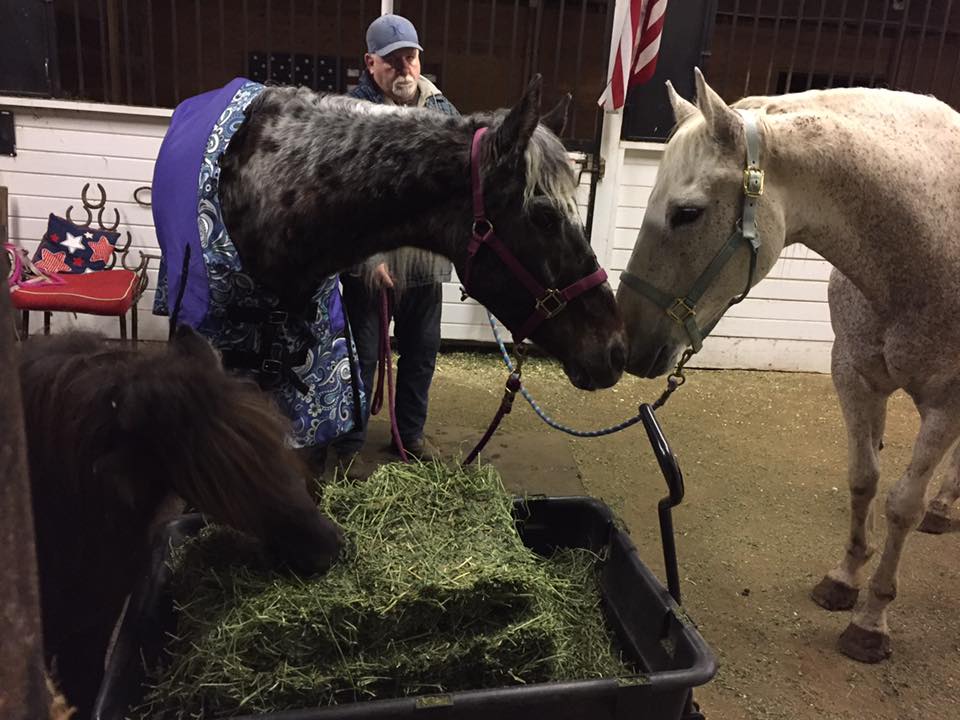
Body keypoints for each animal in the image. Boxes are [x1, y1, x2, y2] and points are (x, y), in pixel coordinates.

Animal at [616, 68, 960, 664]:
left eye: (687, 213)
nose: (627, 339)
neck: (923, 250)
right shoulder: (855, 375)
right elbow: (864, 479)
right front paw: (844, 580)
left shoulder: (945, 403)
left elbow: (901, 506)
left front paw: (871, 621)